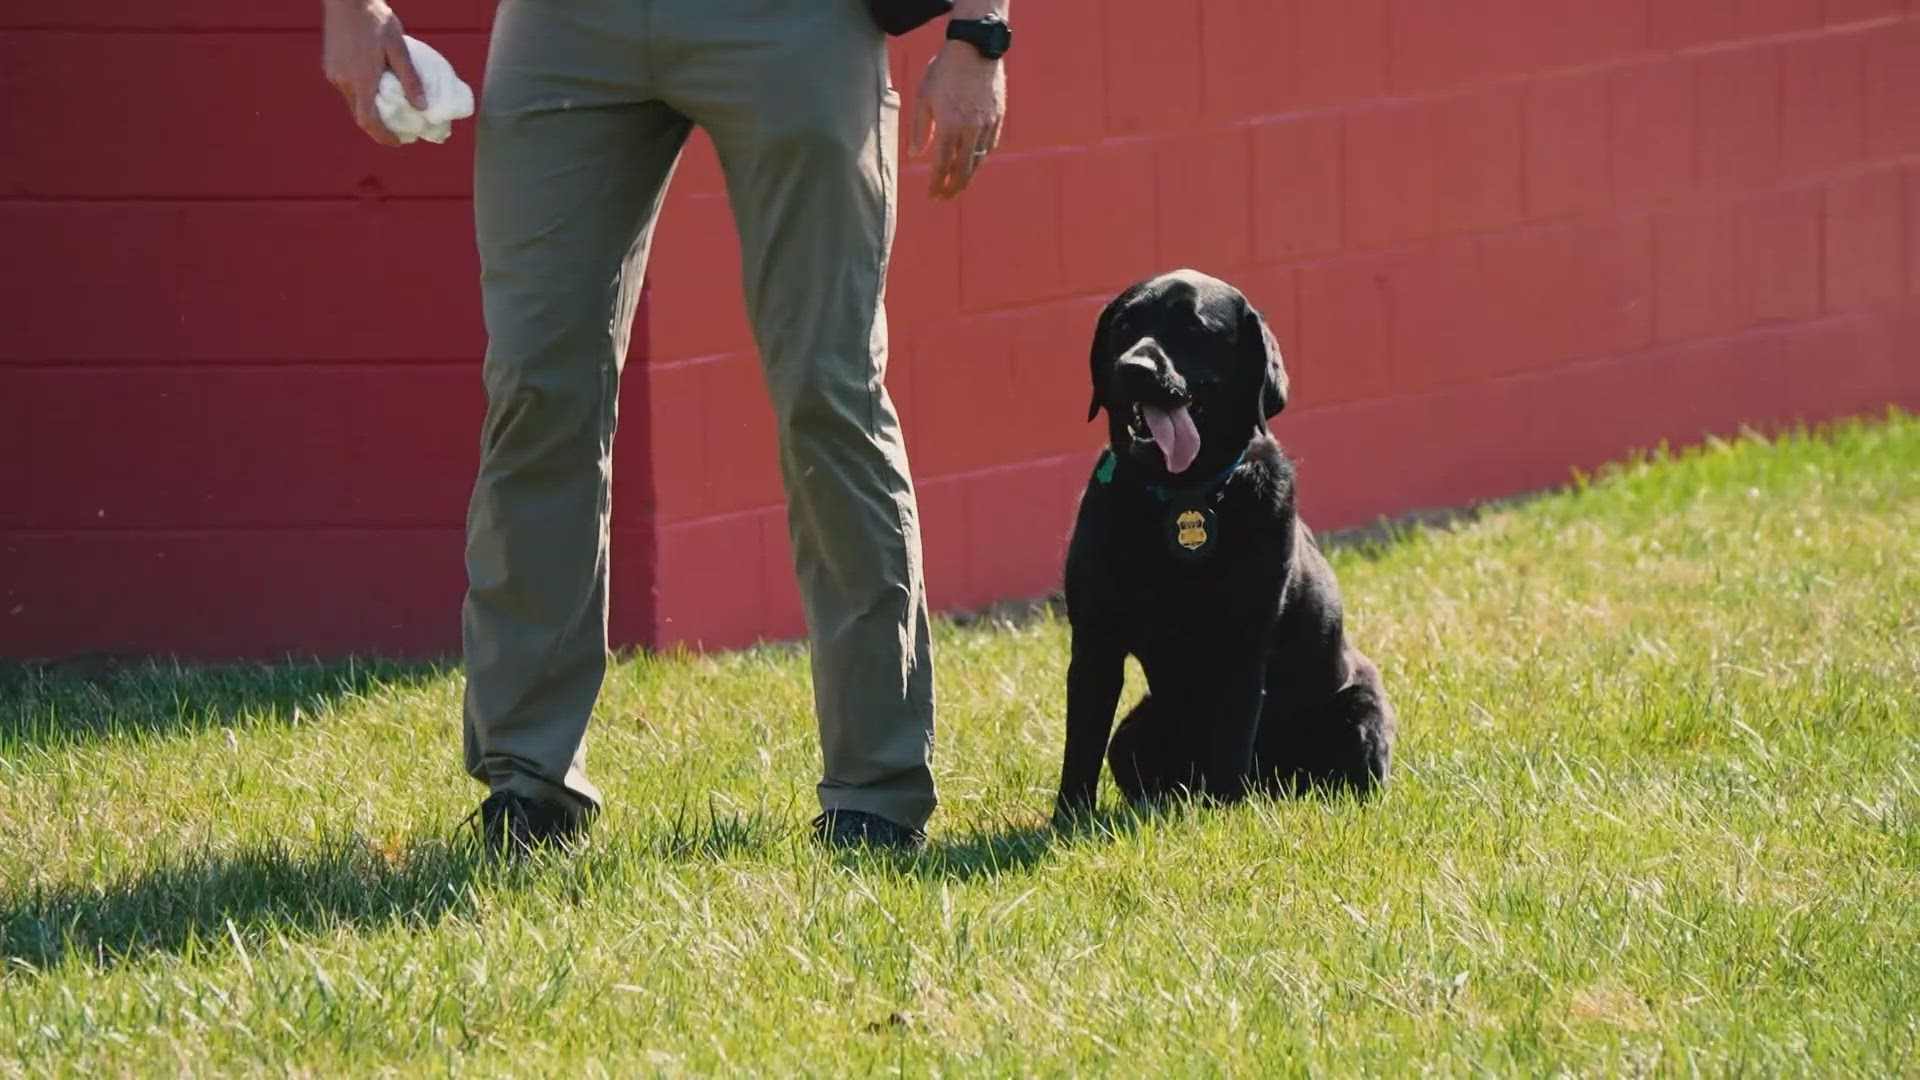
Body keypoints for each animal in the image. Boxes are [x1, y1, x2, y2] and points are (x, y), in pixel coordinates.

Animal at [1052, 270, 1397, 822]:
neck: (1182, 493)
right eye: (1124, 325)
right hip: (1134, 734)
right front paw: (1068, 819)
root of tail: (1280, 783)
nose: (1133, 368)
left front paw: (1223, 812)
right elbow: (1080, 744)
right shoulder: (1094, 643)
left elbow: (1232, 738)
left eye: (1194, 327)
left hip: (1359, 711)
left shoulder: (1243, 642)